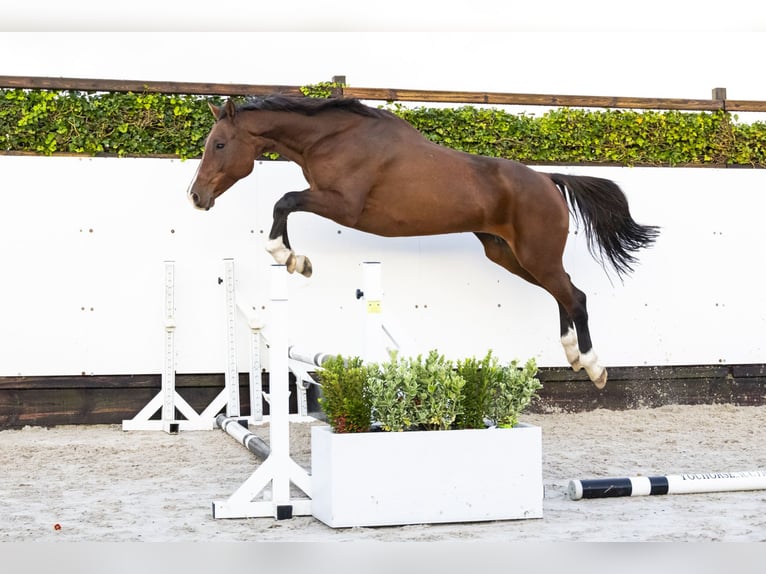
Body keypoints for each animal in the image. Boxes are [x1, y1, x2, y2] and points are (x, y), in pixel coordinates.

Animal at [188, 97, 660, 390]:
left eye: (220, 144)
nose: (196, 196)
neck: (333, 139)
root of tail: (548, 179)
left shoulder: (343, 206)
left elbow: (284, 201)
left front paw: (290, 258)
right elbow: (284, 205)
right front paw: (294, 259)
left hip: (534, 255)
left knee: (574, 296)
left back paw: (594, 368)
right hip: (509, 255)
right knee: (564, 293)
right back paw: (573, 355)